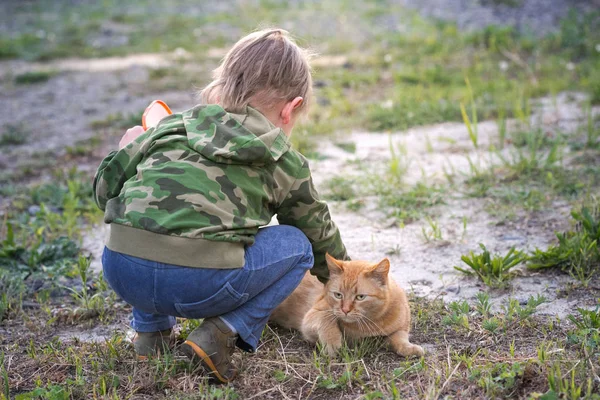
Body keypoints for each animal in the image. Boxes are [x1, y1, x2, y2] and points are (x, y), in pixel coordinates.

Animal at [270, 253, 424, 356]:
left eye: (360, 297)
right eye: (338, 295)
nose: (345, 310)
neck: (371, 323)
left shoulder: (401, 328)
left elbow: (400, 338)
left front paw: (410, 348)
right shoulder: (312, 317)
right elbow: (326, 318)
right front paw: (332, 343)